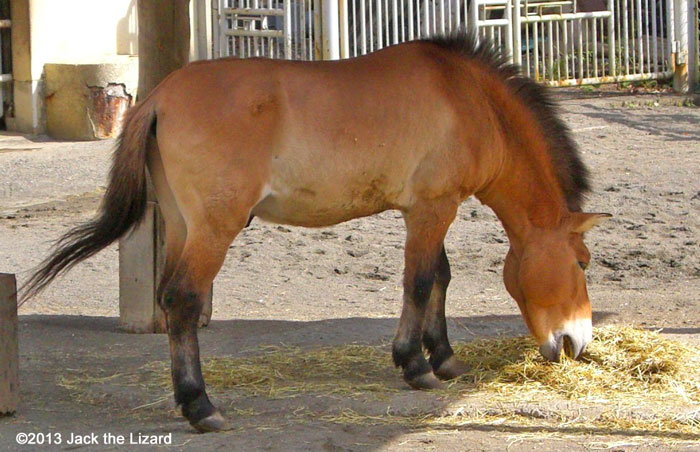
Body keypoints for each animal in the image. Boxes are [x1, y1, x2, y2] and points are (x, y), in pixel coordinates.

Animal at [23, 33, 608, 432]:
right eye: (582, 262)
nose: (577, 343)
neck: (468, 97)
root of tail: (161, 96)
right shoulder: (433, 208)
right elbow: (420, 283)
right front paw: (415, 364)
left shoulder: (427, 210)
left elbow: (439, 278)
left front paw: (443, 358)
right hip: (213, 228)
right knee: (183, 300)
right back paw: (200, 405)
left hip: (183, 223)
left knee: (171, 299)